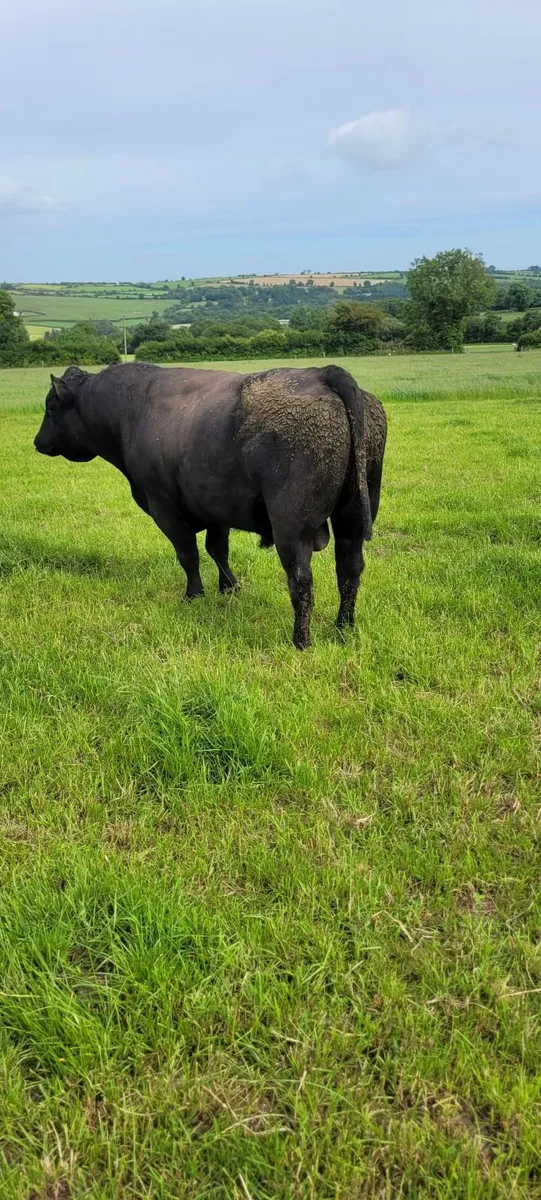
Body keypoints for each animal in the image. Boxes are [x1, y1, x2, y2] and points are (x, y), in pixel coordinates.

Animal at [33, 362, 387, 648]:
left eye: (50, 407)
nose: (37, 443)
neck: (131, 410)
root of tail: (321, 373)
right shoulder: (217, 509)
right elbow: (218, 549)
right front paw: (229, 588)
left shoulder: (165, 508)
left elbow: (188, 555)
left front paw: (194, 595)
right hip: (353, 518)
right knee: (349, 570)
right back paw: (343, 628)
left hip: (291, 525)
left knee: (301, 579)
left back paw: (301, 641)